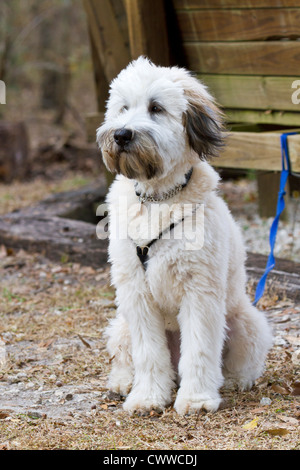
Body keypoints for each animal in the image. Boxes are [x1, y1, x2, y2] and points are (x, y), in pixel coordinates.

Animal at [97, 56, 274, 414]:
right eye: (123, 108)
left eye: (156, 108)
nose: (121, 134)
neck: (156, 199)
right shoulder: (136, 295)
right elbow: (148, 354)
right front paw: (147, 396)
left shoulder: (199, 292)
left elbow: (200, 350)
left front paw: (196, 398)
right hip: (121, 325)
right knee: (127, 357)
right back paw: (123, 382)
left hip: (245, 321)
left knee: (238, 360)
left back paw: (232, 381)